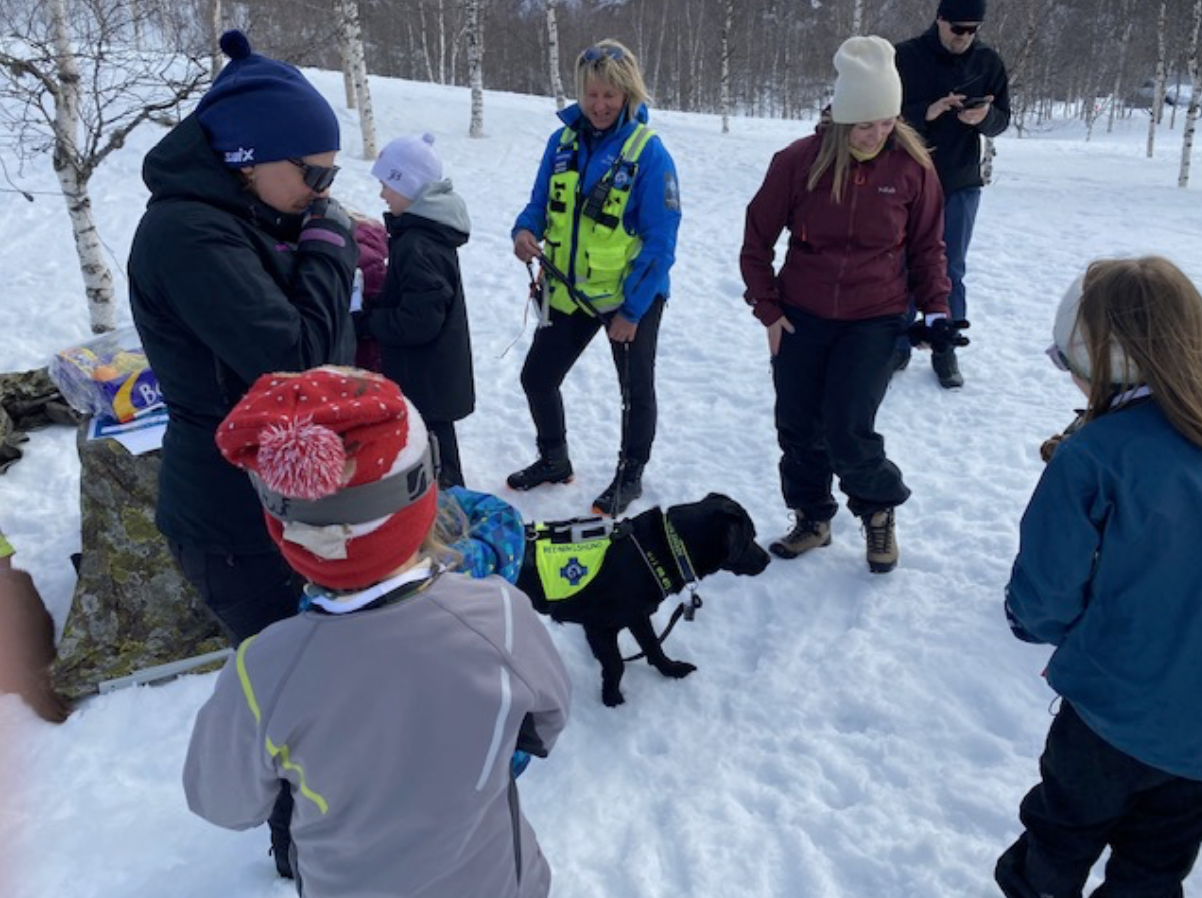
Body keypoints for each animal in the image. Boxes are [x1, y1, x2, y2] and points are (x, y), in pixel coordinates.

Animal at [516, 495, 769, 706]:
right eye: (749, 538)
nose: (767, 559)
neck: (665, 548)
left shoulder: (638, 616)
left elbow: (654, 647)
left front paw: (672, 670)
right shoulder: (600, 626)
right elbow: (617, 665)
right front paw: (612, 699)